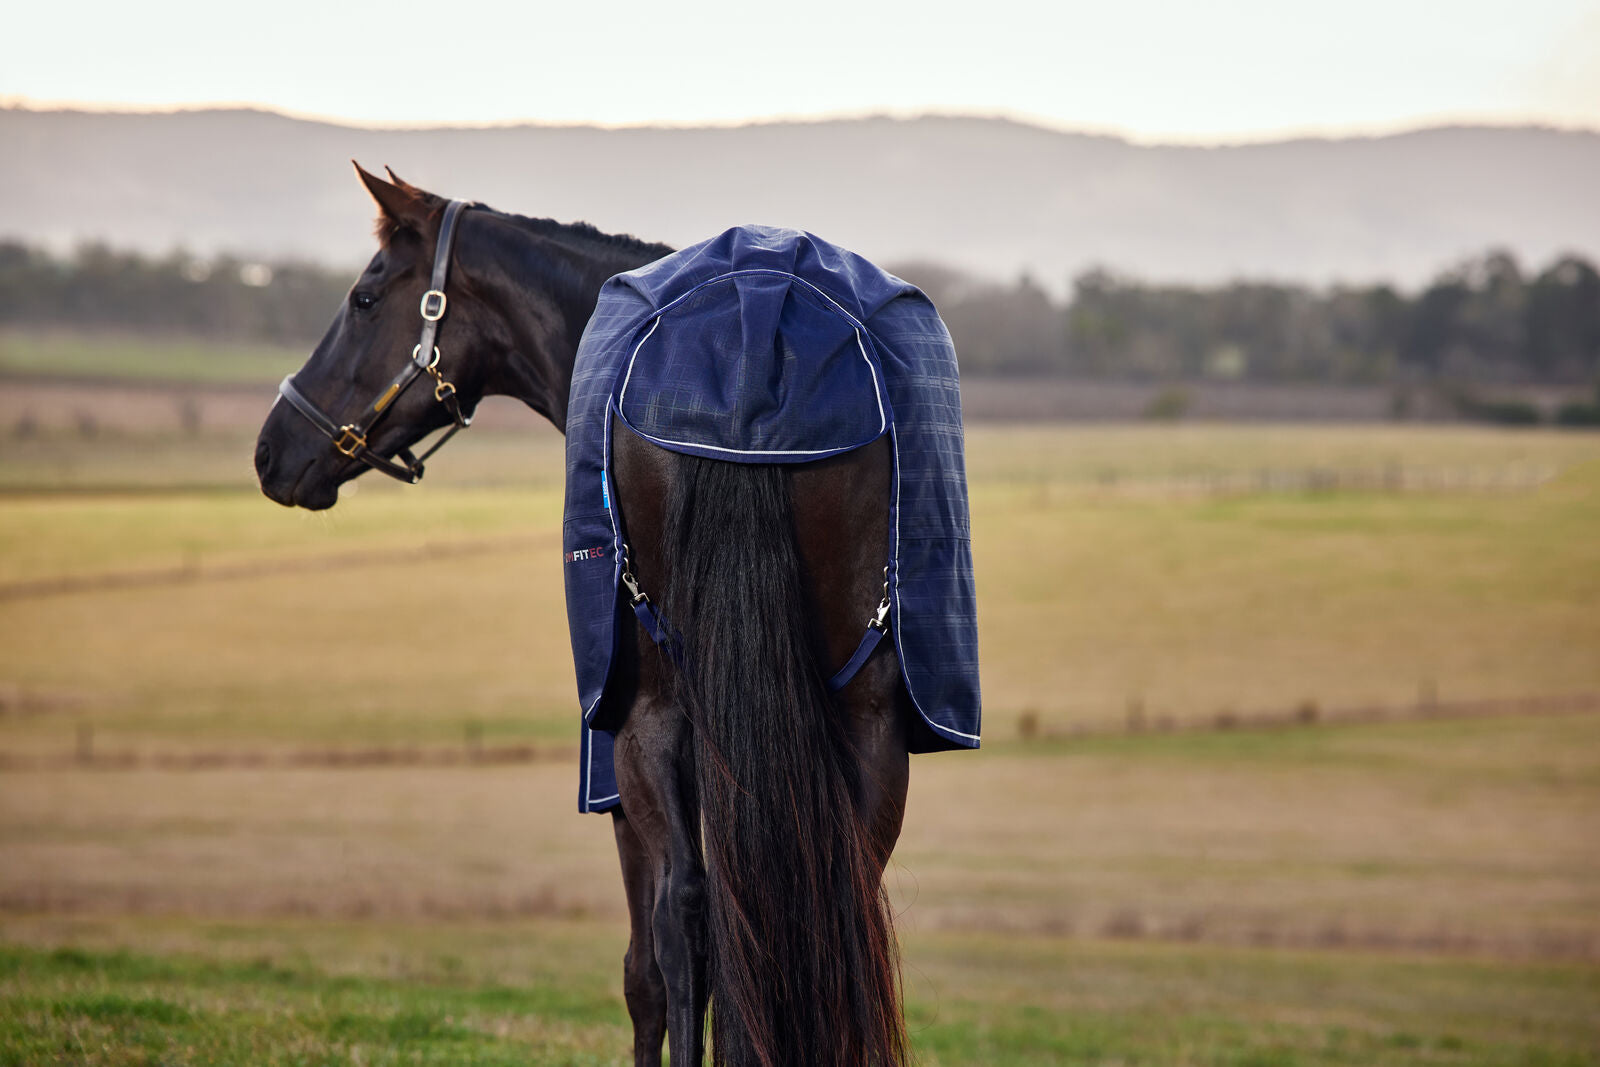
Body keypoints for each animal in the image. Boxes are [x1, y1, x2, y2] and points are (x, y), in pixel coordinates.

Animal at [254, 167, 924, 1066]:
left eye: (365, 297)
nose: (271, 450)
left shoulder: (618, 772)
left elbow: (647, 971)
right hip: (864, 724)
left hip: (647, 727)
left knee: (686, 915)